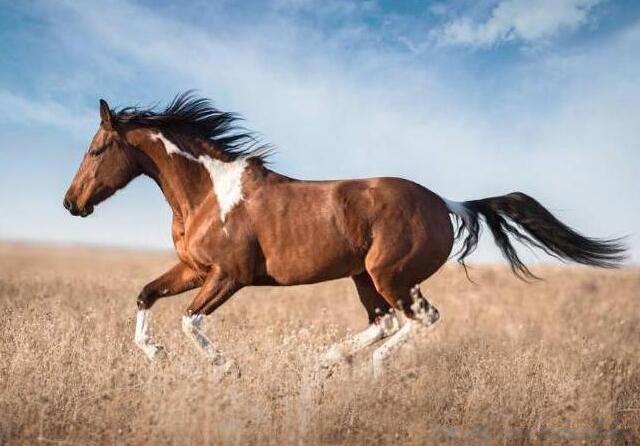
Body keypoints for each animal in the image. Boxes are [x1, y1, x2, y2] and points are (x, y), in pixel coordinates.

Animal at [63, 93, 626, 377]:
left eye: (96, 149)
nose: (72, 204)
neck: (208, 193)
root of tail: (446, 203)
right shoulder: (193, 269)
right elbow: (146, 295)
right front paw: (154, 354)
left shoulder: (229, 275)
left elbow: (189, 320)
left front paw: (225, 366)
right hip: (364, 278)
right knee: (386, 320)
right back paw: (330, 359)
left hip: (388, 274)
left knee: (418, 318)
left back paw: (367, 367)